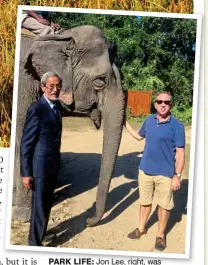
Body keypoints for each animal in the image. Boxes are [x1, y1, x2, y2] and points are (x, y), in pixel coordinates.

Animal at [13, 25, 125, 227]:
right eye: (100, 81)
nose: (88, 220)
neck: (62, 37)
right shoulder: (25, 85)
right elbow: (24, 141)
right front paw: (24, 216)